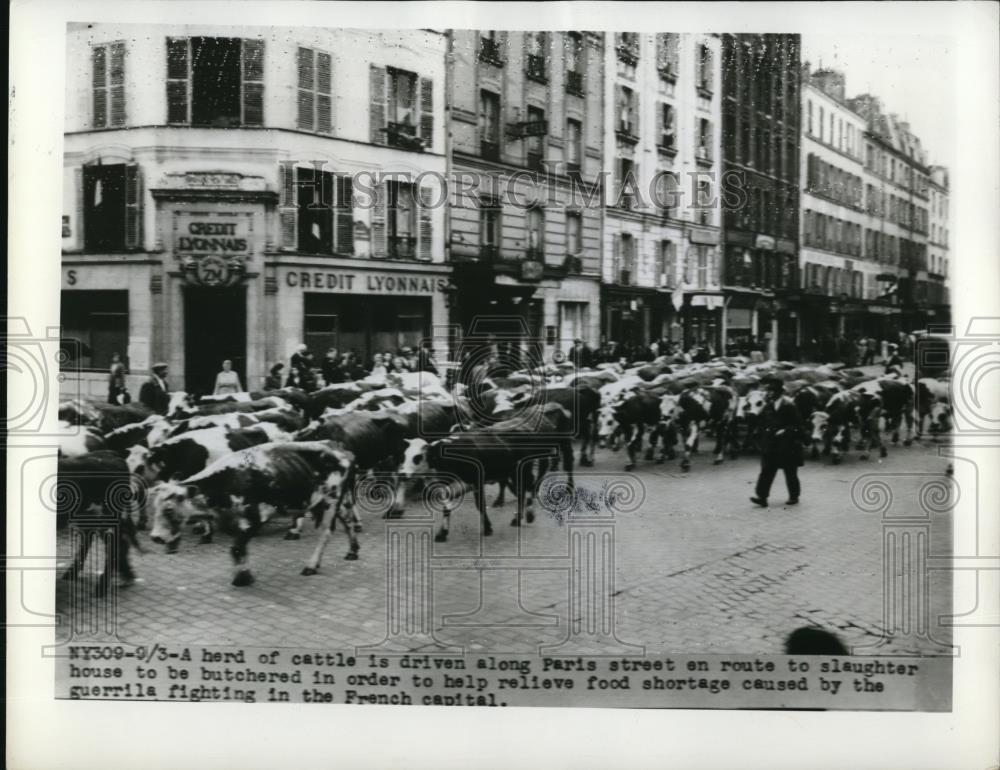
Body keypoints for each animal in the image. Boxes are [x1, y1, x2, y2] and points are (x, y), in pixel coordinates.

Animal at [146, 438, 354, 584]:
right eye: (155, 507)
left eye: (169, 509)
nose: (155, 537)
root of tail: (337, 446)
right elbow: (238, 550)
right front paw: (243, 575)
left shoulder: (253, 520)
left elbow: (237, 549)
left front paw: (242, 578)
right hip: (337, 502)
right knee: (349, 521)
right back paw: (353, 551)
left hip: (330, 501)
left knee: (326, 533)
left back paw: (311, 565)